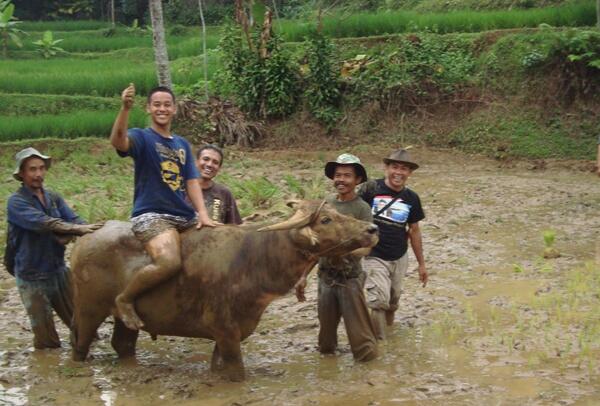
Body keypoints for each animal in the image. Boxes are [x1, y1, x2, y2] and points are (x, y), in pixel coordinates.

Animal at [70, 200, 378, 380]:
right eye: (325, 220)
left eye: (338, 213)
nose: (372, 228)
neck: (254, 258)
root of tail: (85, 238)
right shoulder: (225, 328)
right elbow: (237, 373)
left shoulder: (228, 332)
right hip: (88, 310)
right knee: (80, 344)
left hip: (126, 322)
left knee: (122, 344)